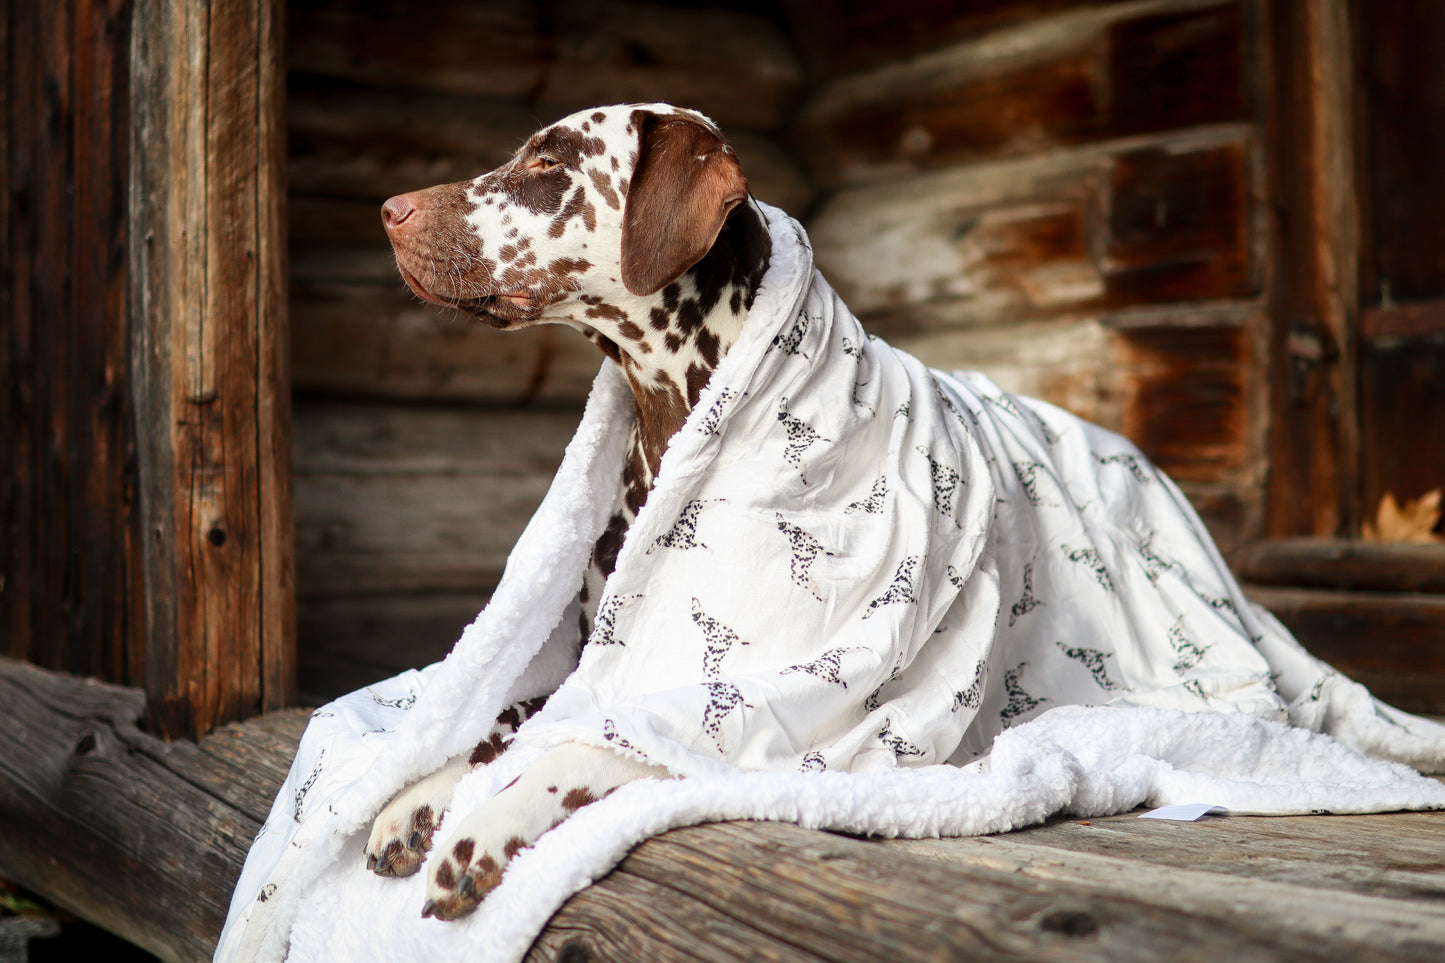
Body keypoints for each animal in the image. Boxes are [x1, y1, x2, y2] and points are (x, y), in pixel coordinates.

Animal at [375, 103, 780, 913]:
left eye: (549, 162)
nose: (389, 211)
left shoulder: (728, 719)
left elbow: (575, 753)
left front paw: (484, 828)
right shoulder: (576, 673)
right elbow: (492, 719)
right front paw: (412, 799)